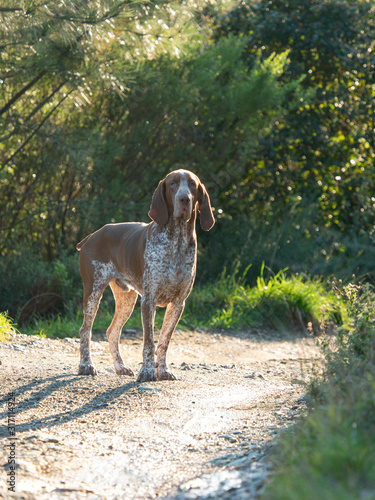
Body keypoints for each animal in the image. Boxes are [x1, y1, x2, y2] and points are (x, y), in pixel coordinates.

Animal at [76, 170, 214, 380]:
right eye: (173, 184)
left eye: (192, 184)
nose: (184, 199)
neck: (177, 241)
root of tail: (91, 236)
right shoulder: (149, 300)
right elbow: (149, 341)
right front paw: (148, 371)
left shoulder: (178, 303)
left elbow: (164, 341)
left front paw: (163, 370)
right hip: (93, 292)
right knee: (85, 330)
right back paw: (86, 365)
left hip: (127, 298)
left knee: (112, 332)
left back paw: (120, 367)